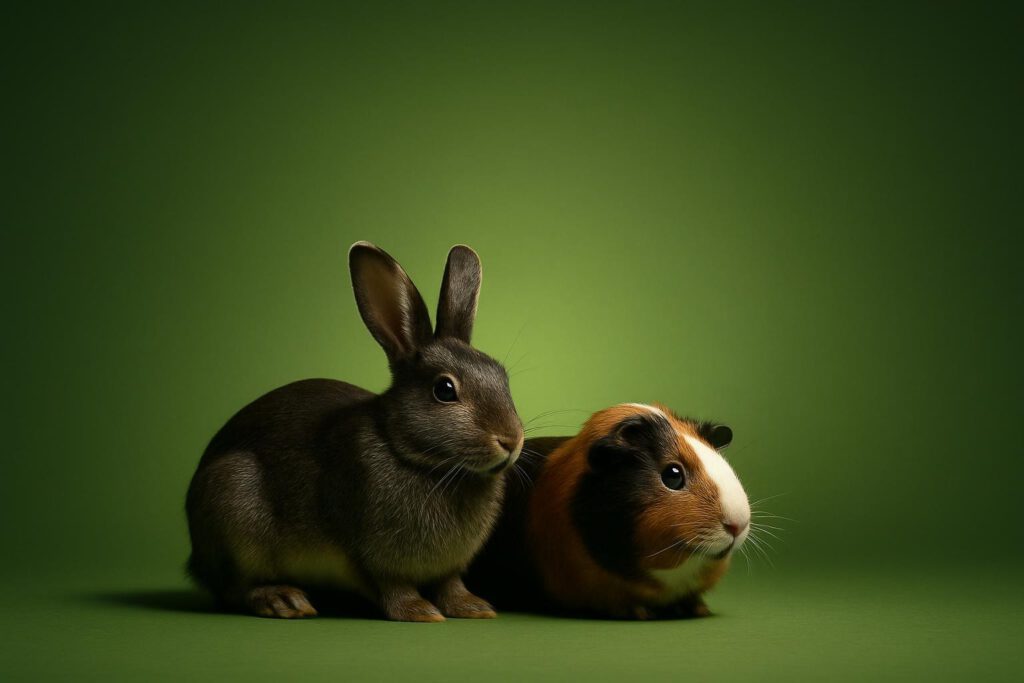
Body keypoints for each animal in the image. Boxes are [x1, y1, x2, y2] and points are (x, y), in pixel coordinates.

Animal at [185, 242, 525, 622]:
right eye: (445, 390)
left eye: (501, 376)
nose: (511, 440)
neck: (415, 456)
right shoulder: (368, 556)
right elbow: (392, 586)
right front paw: (420, 612)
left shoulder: (448, 568)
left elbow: (449, 583)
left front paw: (473, 607)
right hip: (233, 508)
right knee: (234, 588)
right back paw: (283, 600)